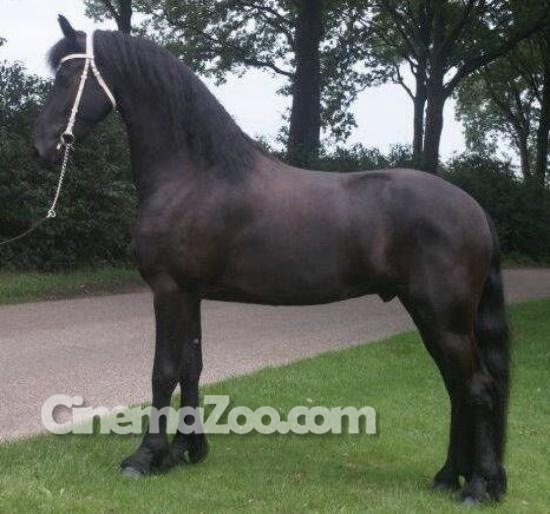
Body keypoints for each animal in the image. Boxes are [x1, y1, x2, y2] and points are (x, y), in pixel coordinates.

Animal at [32, 16, 510, 505]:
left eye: (68, 76)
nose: (40, 146)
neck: (195, 174)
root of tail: (475, 210)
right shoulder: (190, 294)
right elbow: (190, 367)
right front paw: (185, 451)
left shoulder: (168, 291)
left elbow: (162, 373)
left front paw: (145, 458)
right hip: (433, 317)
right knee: (457, 389)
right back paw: (448, 476)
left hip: (444, 318)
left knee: (477, 389)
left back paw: (477, 486)